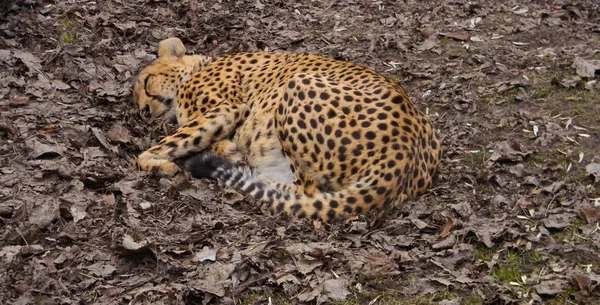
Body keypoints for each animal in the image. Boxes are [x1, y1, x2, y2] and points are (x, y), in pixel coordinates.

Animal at [132, 37, 440, 221]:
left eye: (146, 82)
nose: (144, 111)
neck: (198, 68)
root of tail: (406, 151)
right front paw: (228, 151)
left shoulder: (227, 107)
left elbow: (163, 145)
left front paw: (157, 163)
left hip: (298, 85)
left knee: (309, 192)